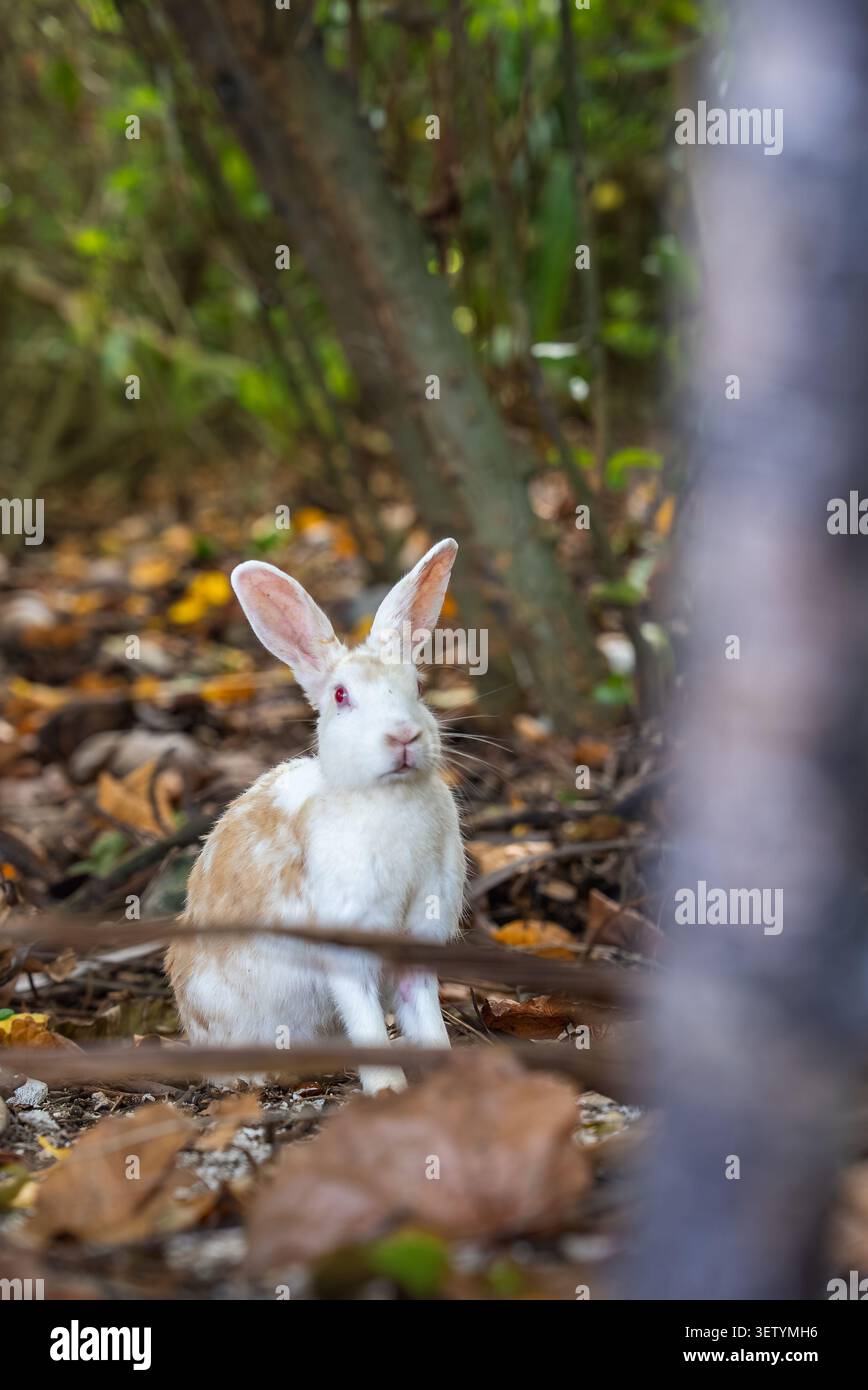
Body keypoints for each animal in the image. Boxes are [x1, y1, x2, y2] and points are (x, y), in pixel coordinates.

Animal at [167, 538, 466, 1095]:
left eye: (417, 686)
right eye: (341, 696)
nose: (403, 736)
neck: (384, 797)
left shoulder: (419, 941)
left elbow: (427, 1017)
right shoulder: (347, 948)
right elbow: (366, 1023)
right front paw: (388, 1091)